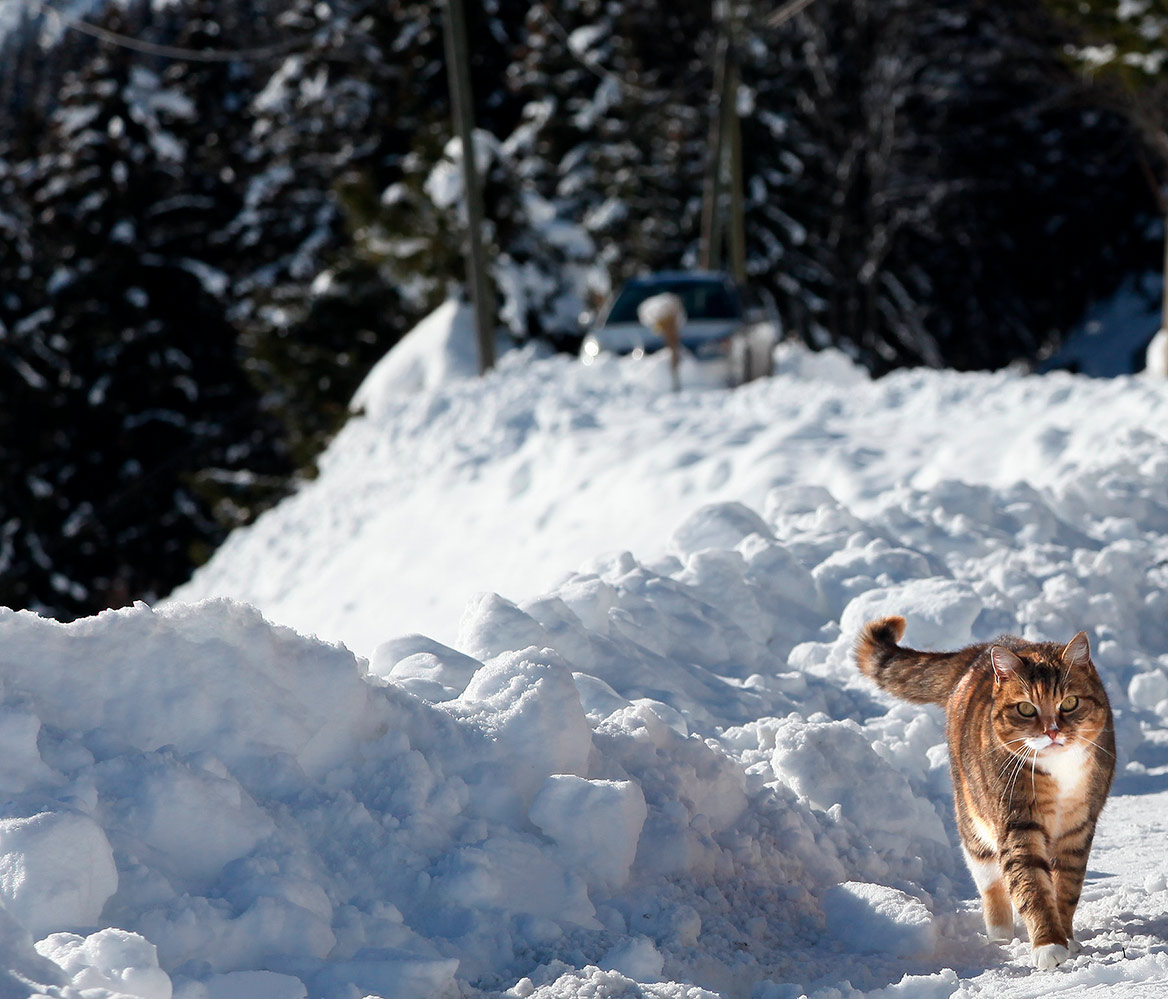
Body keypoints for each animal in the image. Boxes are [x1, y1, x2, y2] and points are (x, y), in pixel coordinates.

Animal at [854, 616, 1116, 967]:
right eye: (1026, 708)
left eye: (1070, 702)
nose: (1052, 731)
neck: (1059, 770)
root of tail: (977, 652)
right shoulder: (1017, 820)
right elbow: (1031, 882)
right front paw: (1048, 944)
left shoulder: (1079, 826)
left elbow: (1067, 885)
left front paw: (1067, 937)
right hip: (972, 817)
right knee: (989, 878)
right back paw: (1001, 937)